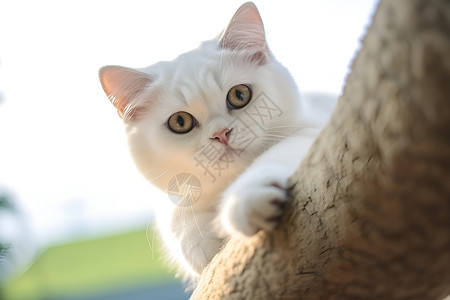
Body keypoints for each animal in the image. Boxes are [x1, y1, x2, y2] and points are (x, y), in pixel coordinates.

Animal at [98, 1, 330, 280]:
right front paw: (200, 241)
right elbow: (177, 217)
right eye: (180, 122)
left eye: (239, 95)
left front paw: (243, 201)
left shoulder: (312, 132)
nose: (221, 134)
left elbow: (272, 155)